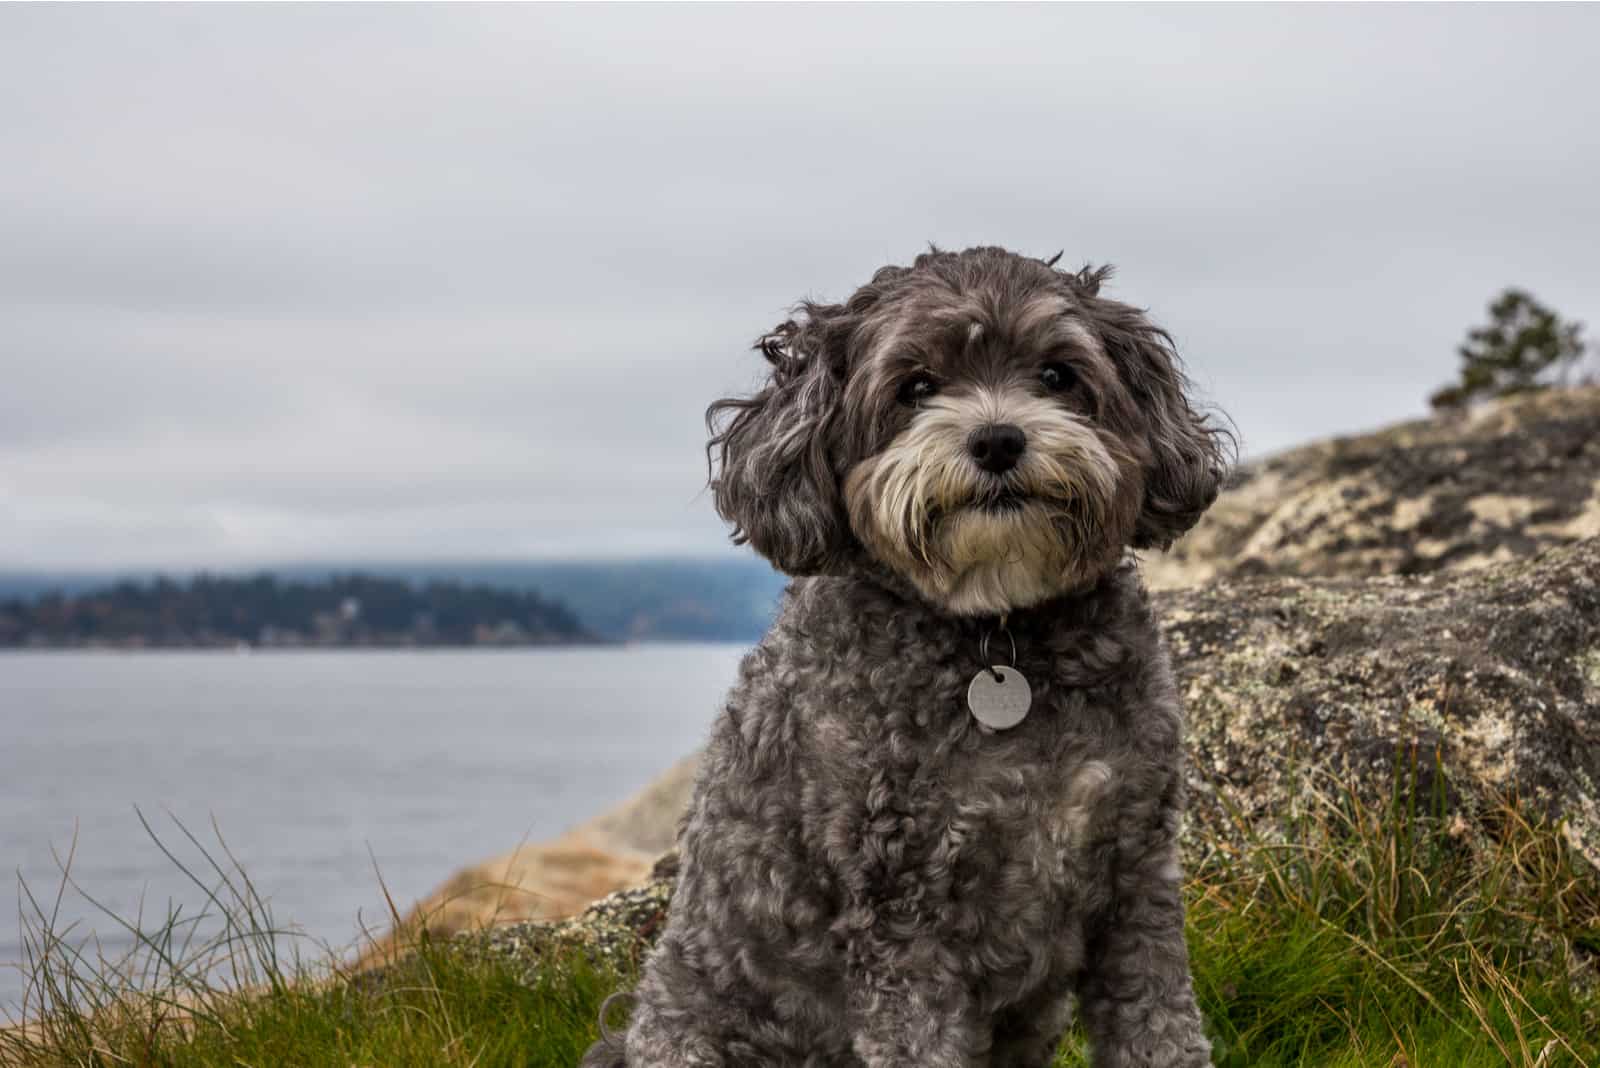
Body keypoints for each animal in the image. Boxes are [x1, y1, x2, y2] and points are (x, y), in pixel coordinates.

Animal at [582, 246, 1228, 1061]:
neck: (996, 634)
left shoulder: (1135, 879)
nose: (997, 439)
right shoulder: (898, 915)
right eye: (916, 387)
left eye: (1057, 374)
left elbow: (1161, 1029)